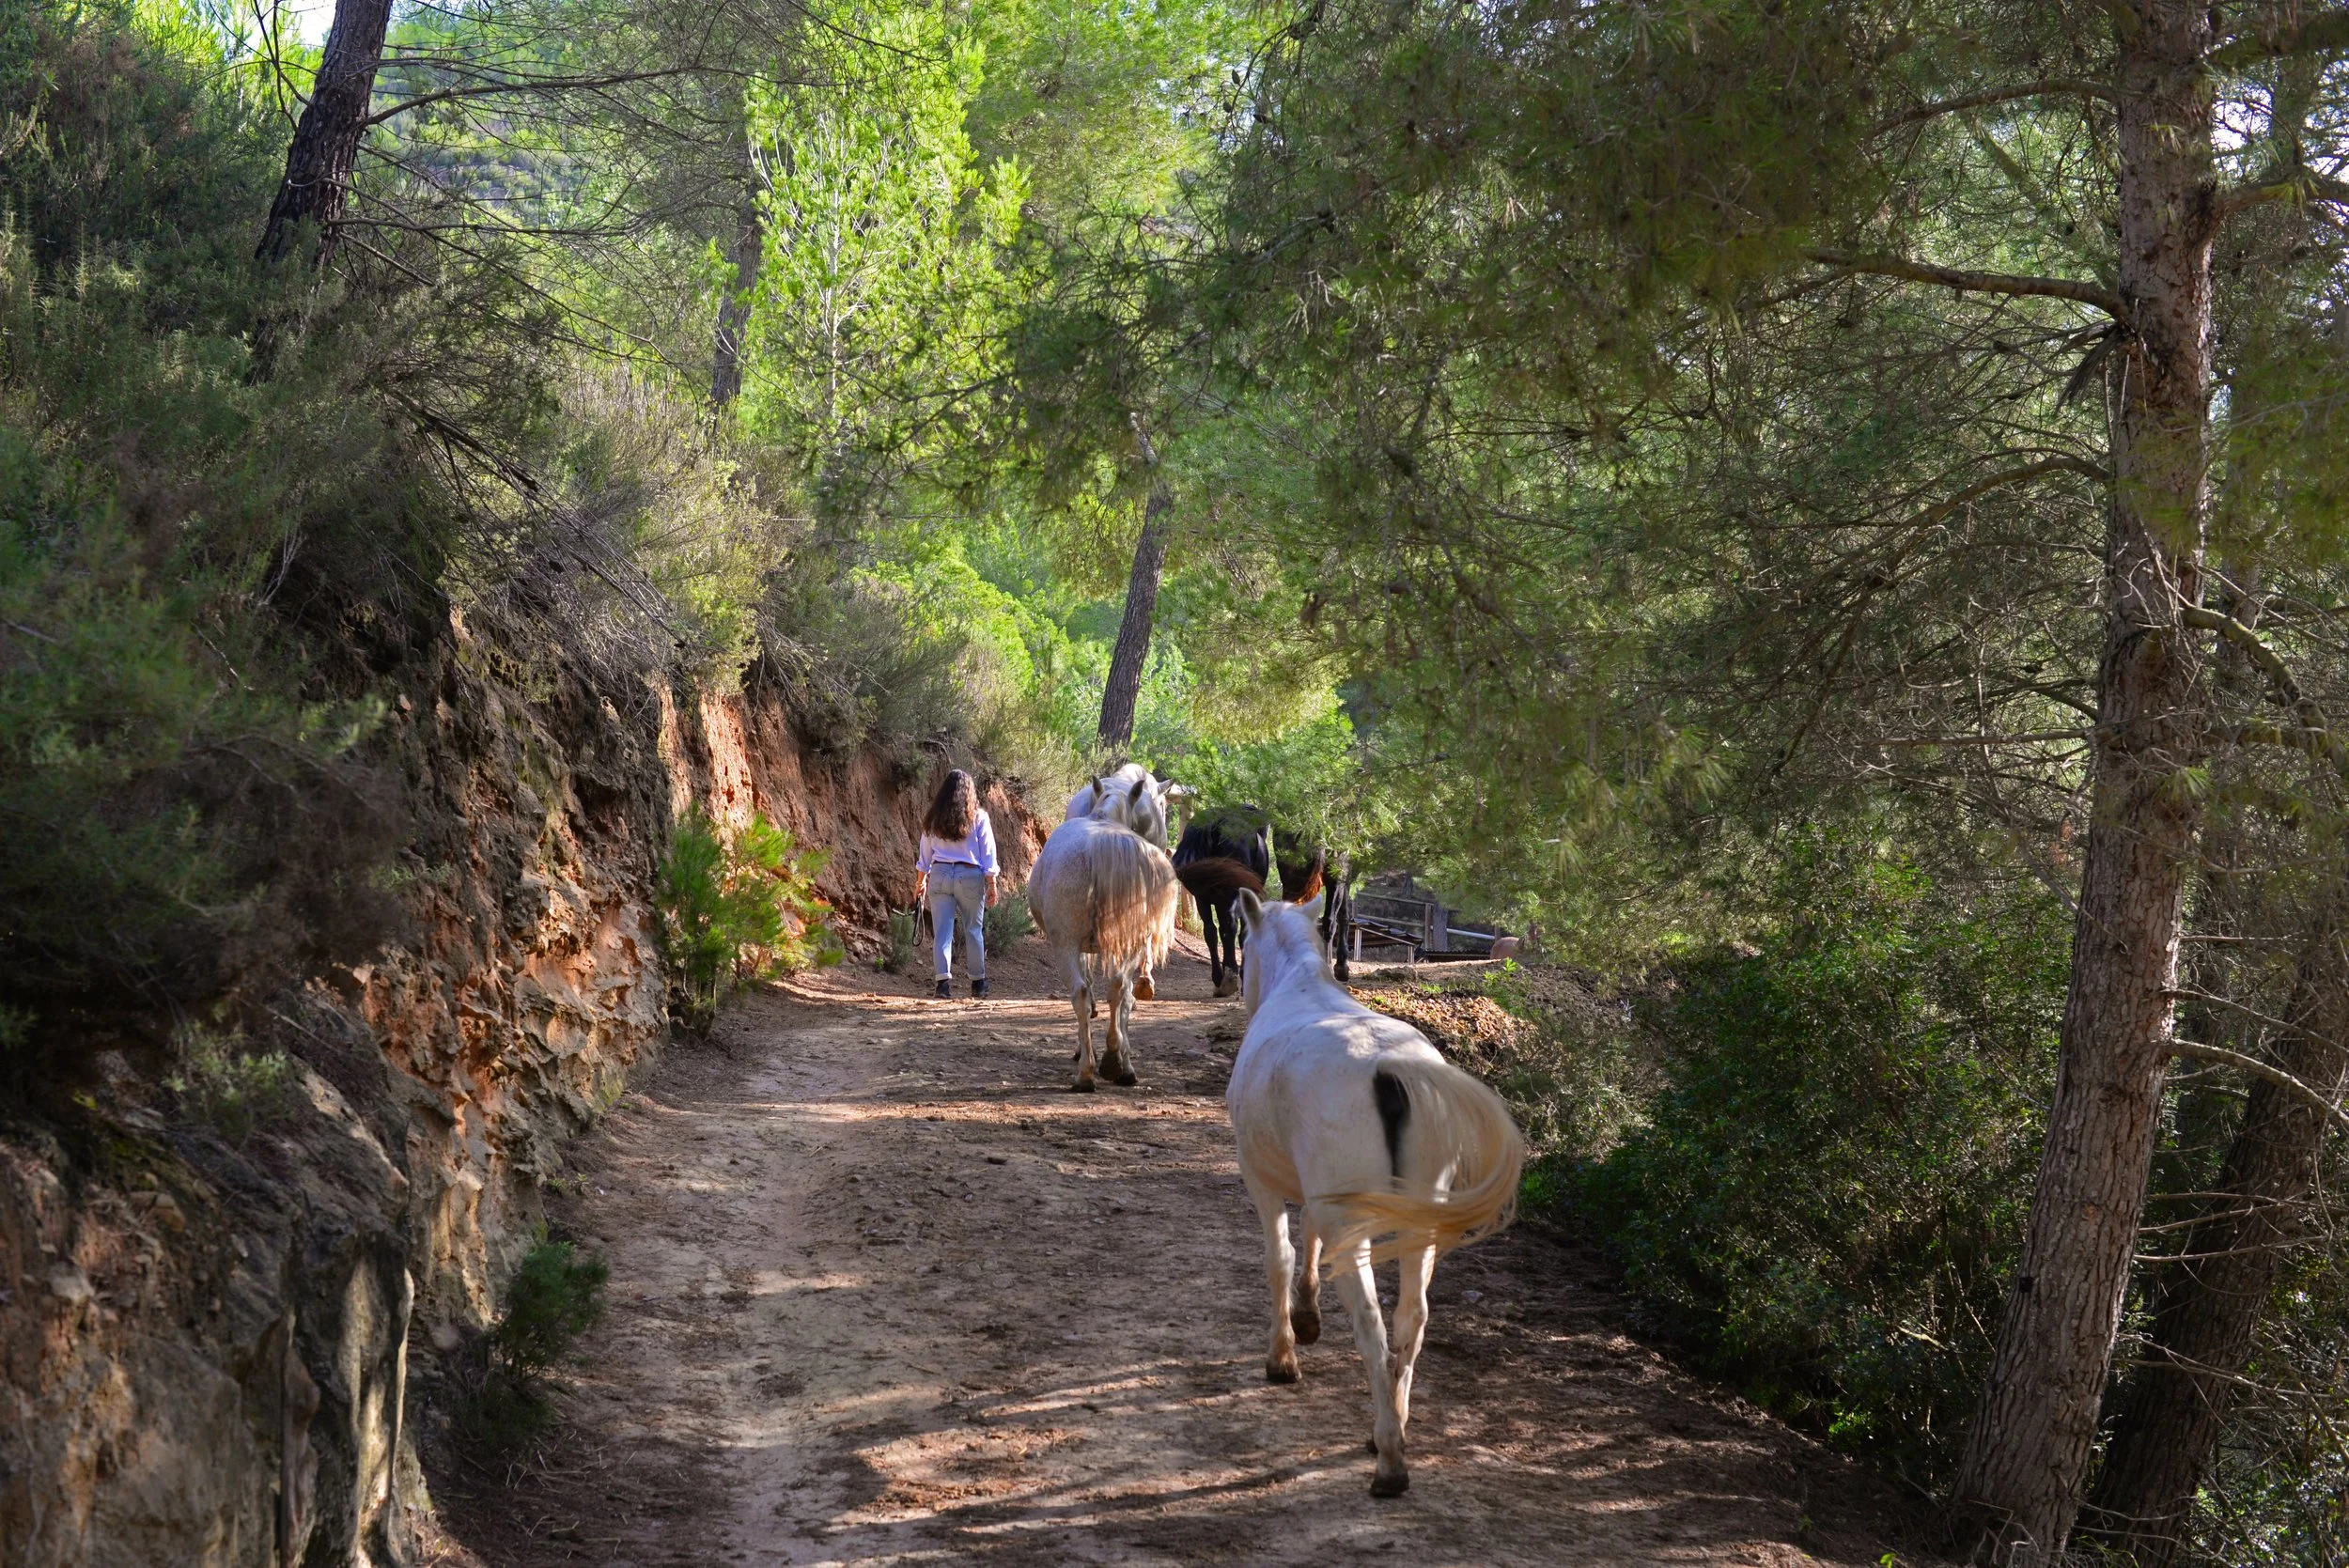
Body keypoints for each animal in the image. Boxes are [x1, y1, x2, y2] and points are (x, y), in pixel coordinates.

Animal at [1027, 773, 1180, 1091]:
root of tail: (1101, 846)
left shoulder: (1080, 948)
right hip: (1130, 943)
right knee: (1120, 988)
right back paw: (1119, 1064)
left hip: (1066, 945)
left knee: (1082, 993)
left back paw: (1088, 1071)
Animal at [1174, 806, 1272, 996]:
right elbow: (1241, 933)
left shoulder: (1213, 901)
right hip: (1232, 893)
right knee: (1231, 927)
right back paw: (1230, 977)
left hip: (1203, 898)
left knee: (1211, 931)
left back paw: (1220, 977)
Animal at [1225, 888, 1524, 1498]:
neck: (1301, 983)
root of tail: (1390, 1068)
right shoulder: (1319, 1198)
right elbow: (1310, 1243)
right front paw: (1307, 1317)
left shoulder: (1261, 1181)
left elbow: (1281, 1256)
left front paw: (1283, 1356)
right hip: (1417, 1227)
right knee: (1411, 1320)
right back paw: (1394, 1425)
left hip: (1357, 1228)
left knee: (1371, 1322)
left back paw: (1388, 1459)